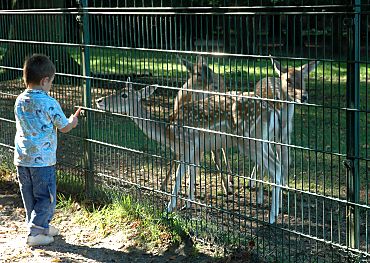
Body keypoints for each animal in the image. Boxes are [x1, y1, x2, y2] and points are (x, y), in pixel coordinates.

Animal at [96, 81, 284, 224]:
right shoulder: (195, 149)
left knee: (275, 168)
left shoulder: (187, 145)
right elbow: (192, 172)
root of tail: (273, 110)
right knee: (279, 164)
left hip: (251, 139)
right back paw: (277, 210)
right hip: (266, 141)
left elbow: (180, 175)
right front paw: (189, 203)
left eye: (124, 95)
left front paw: (169, 208)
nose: (99, 100)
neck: (168, 134)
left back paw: (272, 217)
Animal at [250, 56, 320, 205]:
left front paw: (283, 189)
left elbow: (285, 161)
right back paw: (252, 183)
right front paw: (260, 199)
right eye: (288, 80)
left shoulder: (286, 135)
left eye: (304, 78)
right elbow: (265, 164)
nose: (304, 96)